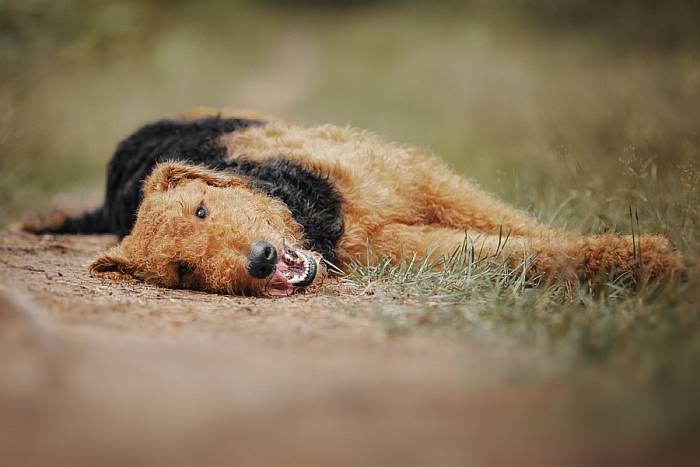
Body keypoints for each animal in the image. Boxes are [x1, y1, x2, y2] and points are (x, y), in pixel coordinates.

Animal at [23, 109, 684, 296]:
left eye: (201, 210)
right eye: (183, 271)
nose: (260, 261)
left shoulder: (417, 178)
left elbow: (517, 225)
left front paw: (655, 255)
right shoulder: (391, 241)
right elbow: (508, 248)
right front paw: (645, 262)